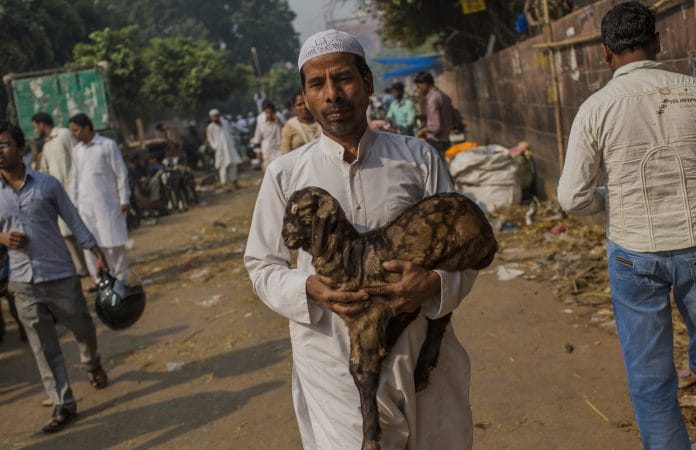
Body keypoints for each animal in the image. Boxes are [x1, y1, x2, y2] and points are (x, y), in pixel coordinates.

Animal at [282, 186, 498, 450]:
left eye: (300, 210)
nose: (284, 236)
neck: (347, 253)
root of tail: (488, 233)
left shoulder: (365, 318)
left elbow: (360, 372)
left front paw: (370, 439)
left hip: (453, 257)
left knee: (438, 317)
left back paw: (420, 369)